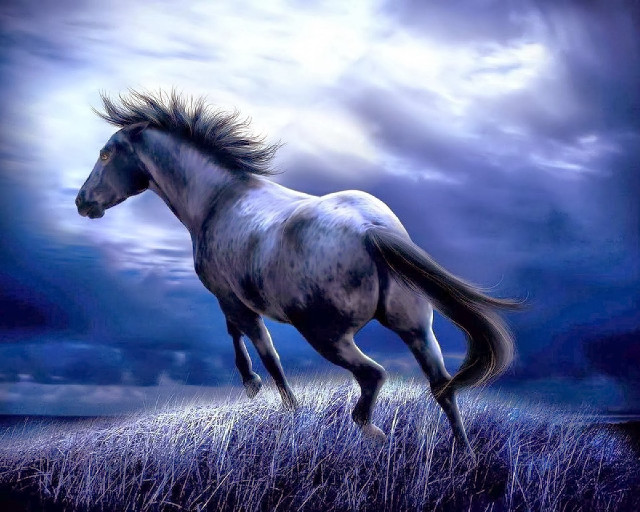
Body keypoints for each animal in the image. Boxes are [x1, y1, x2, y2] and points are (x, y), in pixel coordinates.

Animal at [76, 90, 519, 454]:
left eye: (105, 154)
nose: (82, 202)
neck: (219, 199)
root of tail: (372, 230)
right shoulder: (234, 301)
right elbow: (242, 337)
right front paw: (259, 390)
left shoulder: (231, 299)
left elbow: (263, 351)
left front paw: (275, 399)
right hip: (416, 328)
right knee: (442, 387)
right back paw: (464, 454)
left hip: (326, 335)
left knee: (374, 375)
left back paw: (373, 432)